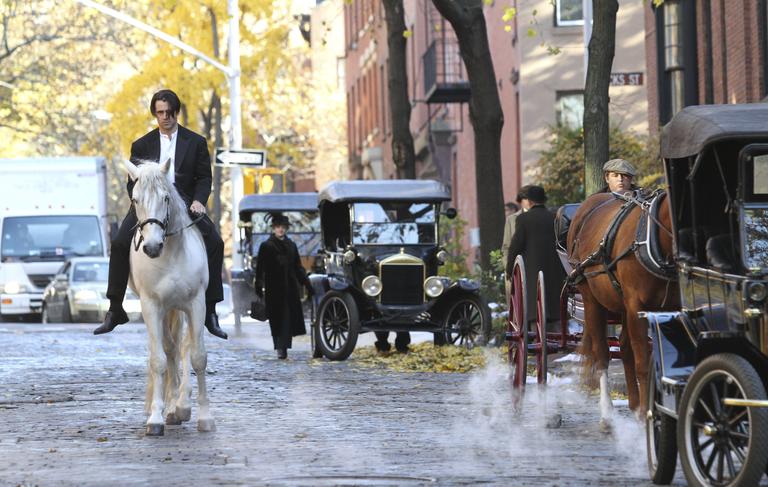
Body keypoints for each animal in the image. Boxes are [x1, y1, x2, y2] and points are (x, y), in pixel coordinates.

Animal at [125, 158, 216, 436]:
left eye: (165, 198)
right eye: (135, 199)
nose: (152, 247)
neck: (170, 255)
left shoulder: (196, 304)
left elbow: (198, 357)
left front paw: (204, 417)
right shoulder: (152, 306)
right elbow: (159, 360)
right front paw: (156, 418)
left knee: (183, 347)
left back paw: (182, 404)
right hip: (165, 311)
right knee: (170, 349)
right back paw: (174, 406)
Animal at [564, 192, 680, 428]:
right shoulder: (637, 307)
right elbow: (643, 362)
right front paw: (648, 414)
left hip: (622, 305)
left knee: (625, 347)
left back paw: (635, 406)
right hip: (591, 299)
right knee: (602, 353)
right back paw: (607, 412)